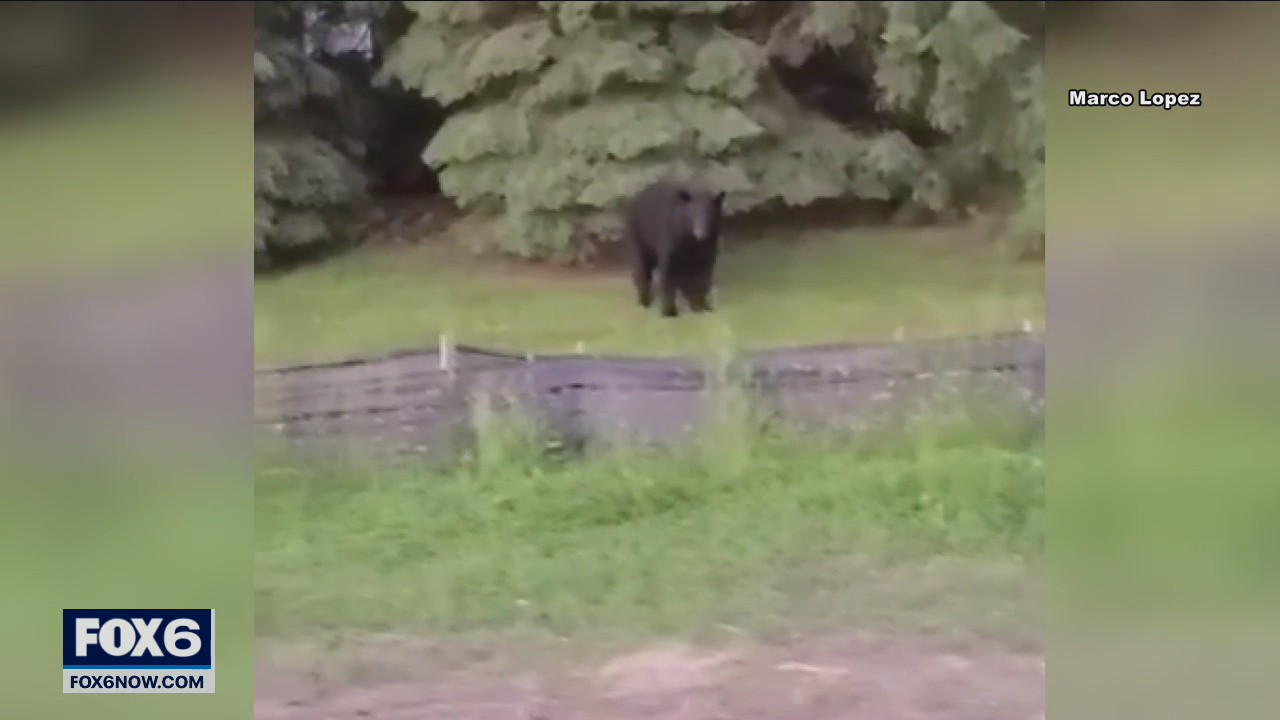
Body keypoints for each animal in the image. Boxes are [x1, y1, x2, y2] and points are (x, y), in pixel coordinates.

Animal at [622, 179, 725, 318]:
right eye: (693, 215)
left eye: (710, 215)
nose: (701, 234)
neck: (690, 240)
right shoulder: (670, 239)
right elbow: (668, 272)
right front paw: (669, 311)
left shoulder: (708, 247)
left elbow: (704, 273)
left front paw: (701, 306)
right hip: (639, 235)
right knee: (641, 266)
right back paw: (644, 300)